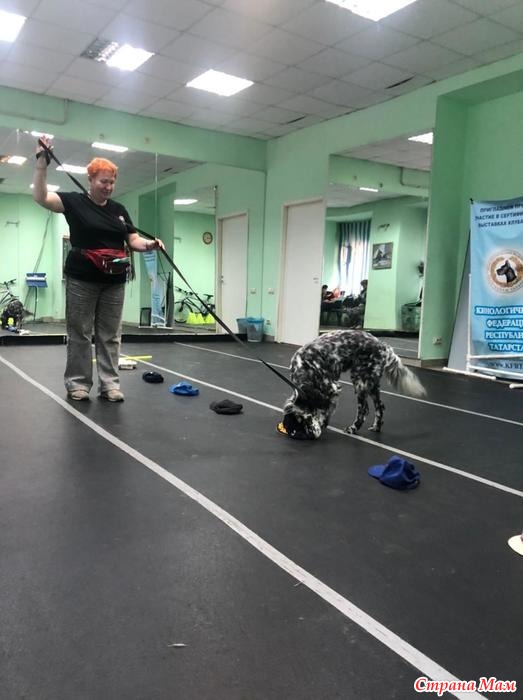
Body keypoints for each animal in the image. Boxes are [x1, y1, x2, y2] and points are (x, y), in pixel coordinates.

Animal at [281, 330, 426, 439]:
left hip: (359, 381)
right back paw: (376, 427)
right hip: (371, 384)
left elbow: (325, 410)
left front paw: (322, 422)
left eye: (309, 416)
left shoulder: (333, 388)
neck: (304, 368)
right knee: (380, 407)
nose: (311, 434)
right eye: (301, 420)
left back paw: (353, 428)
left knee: (364, 409)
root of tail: (382, 345)